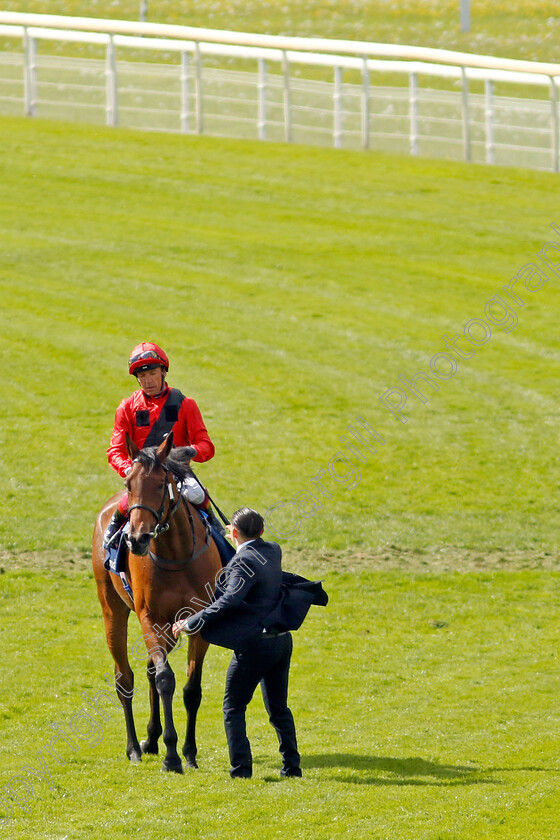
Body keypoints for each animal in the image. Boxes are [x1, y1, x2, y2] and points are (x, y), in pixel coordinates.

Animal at [92, 434, 223, 776]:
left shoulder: (197, 621)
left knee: (150, 669)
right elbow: (166, 679)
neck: (176, 555)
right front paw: (172, 755)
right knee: (125, 678)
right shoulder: (149, 617)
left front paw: (188, 753)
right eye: (129, 483)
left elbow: (191, 689)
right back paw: (135, 748)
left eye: (162, 483)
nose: (136, 539)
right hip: (113, 610)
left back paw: (151, 739)